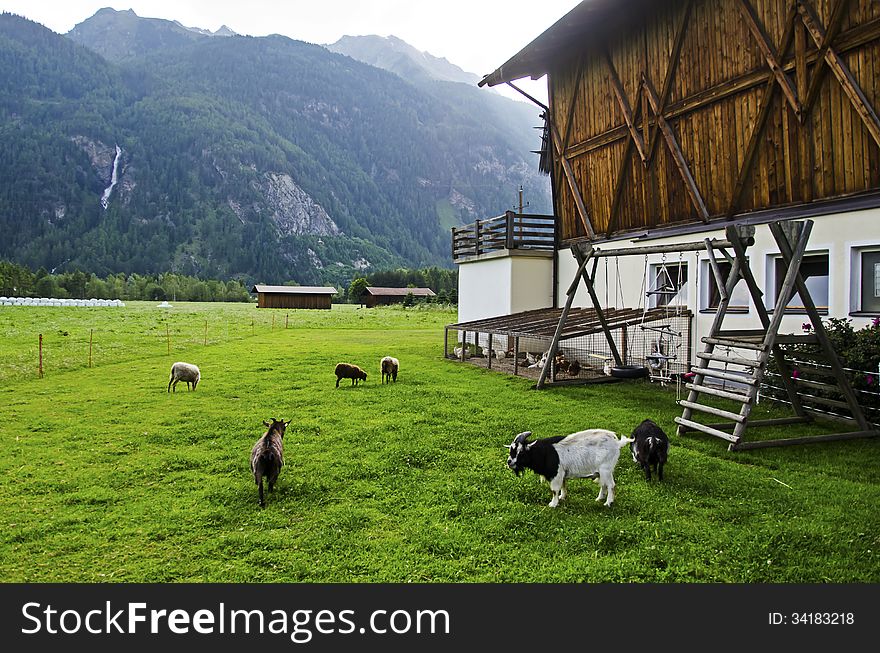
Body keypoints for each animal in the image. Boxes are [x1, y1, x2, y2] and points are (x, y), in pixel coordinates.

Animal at [502, 428, 632, 510]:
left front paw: (553, 504)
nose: (509, 462)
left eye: (521, 452)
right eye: (511, 450)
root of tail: (617, 443)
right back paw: (599, 499)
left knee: (611, 485)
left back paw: (608, 503)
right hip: (601, 471)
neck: (543, 452)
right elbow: (563, 485)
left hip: (606, 469)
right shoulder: (562, 473)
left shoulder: (556, 474)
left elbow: (554, 490)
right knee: (603, 484)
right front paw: (562, 497)